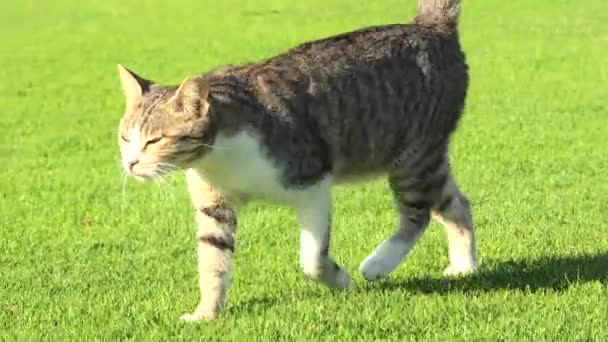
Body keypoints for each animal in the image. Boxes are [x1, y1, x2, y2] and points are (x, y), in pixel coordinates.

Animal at [116, 0, 478, 320]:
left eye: (155, 140)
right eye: (124, 137)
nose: (130, 164)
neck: (219, 158)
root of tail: (430, 26)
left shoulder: (311, 182)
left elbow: (312, 259)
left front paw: (340, 279)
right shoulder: (214, 204)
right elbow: (212, 260)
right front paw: (206, 313)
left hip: (412, 157)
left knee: (418, 214)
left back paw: (378, 263)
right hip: (425, 158)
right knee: (456, 203)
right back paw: (464, 266)